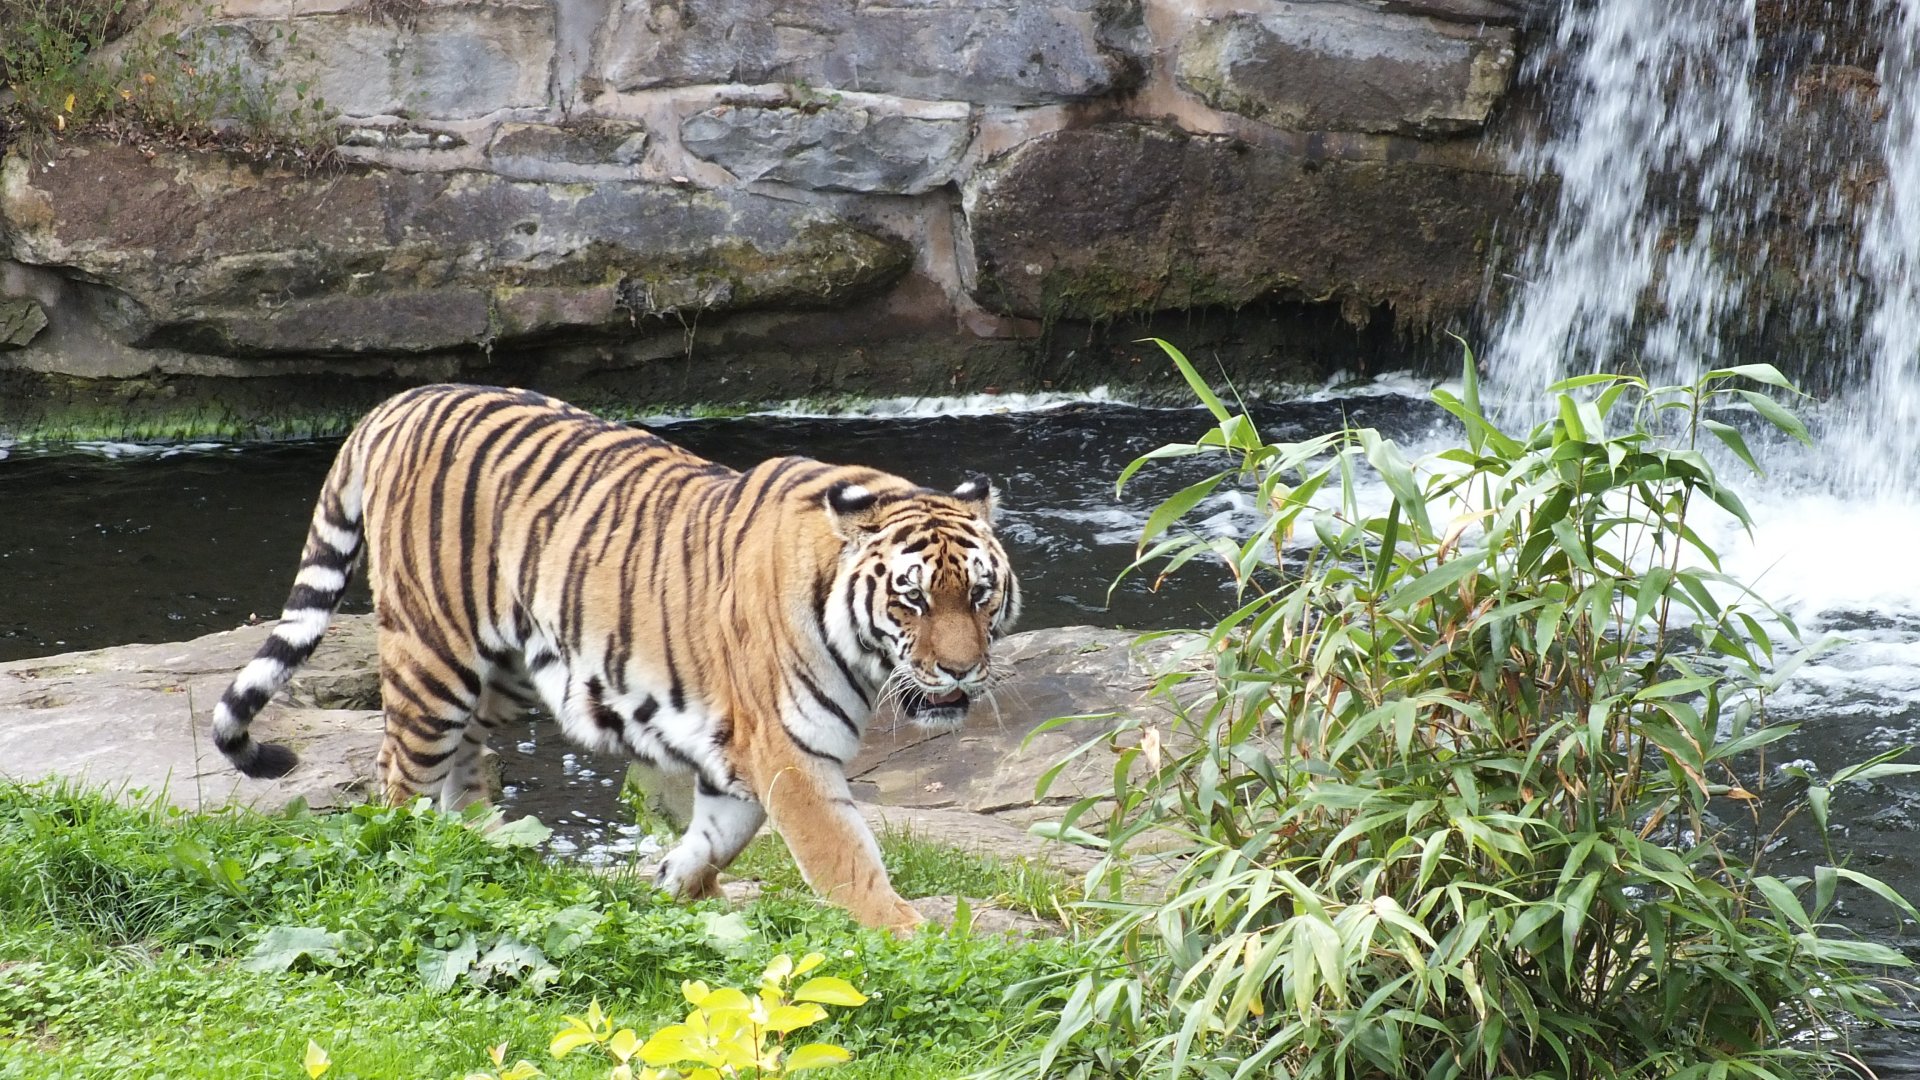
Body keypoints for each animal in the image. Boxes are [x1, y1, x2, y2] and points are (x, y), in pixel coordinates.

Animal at [210, 383, 1019, 932]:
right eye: (912, 600)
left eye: (981, 595)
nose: (959, 671)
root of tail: (396, 402)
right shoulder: (791, 753)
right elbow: (845, 859)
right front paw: (913, 937)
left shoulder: (736, 755)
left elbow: (714, 840)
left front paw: (675, 889)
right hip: (433, 656)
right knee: (401, 775)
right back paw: (413, 861)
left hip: (507, 672)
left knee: (465, 761)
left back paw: (482, 848)